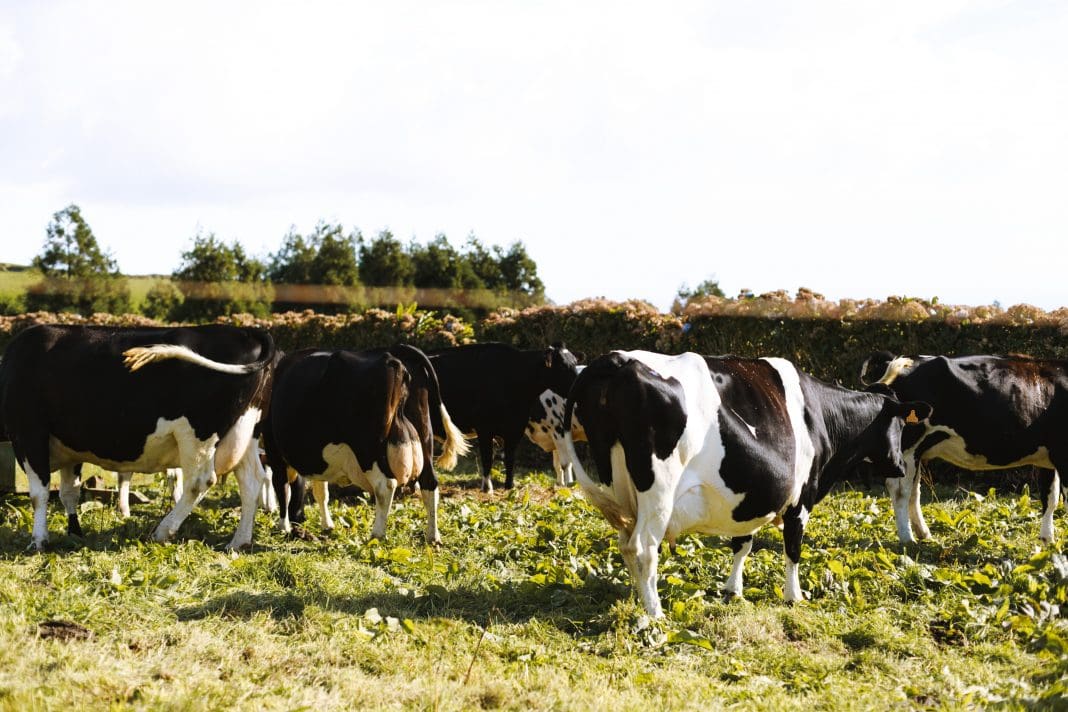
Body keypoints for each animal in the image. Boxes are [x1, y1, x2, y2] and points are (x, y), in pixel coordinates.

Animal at [0, 324, 278, 551]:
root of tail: (246, 331)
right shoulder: (70, 446)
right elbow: (69, 492)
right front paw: (74, 532)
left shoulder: (28, 434)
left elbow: (40, 493)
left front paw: (38, 540)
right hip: (245, 432)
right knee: (252, 480)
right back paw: (238, 541)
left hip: (199, 433)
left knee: (200, 481)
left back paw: (163, 531)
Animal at [263, 344, 468, 543]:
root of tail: (393, 351)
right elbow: (321, 491)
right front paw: (327, 525)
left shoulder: (275, 453)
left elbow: (282, 488)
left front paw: (283, 527)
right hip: (424, 434)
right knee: (429, 482)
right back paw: (433, 536)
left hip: (369, 449)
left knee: (386, 485)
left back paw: (376, 534)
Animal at [429, 343, 582, 491]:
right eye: (562, 366)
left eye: (574, 363)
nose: (578, 385)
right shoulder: (484, 428)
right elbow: (487, 458)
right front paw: (487, 488)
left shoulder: (515, 428)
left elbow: (509, 458)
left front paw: (509, 486)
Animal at [563, 350, 931, 617]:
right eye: (901, 424)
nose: (900, 466)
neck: (820, 415)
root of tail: (618, 360)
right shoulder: (800, 499)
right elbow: (793, 549)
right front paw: (794, 596)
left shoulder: (748, 495)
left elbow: (742, 542)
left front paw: (732, 590)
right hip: (658, 491)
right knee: (641, 547)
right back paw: (655, 614)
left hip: (620, 489)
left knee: (626, 545)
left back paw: (640, 600)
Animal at [859, 351, 1068, 544]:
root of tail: (903, 360)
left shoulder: (1048, 458)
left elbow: (1050, 498)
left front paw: (1048, 540)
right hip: (908, 446)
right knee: (900, 490)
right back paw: (907, 539)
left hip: (916, 451)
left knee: (913, 491)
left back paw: (924, 533)